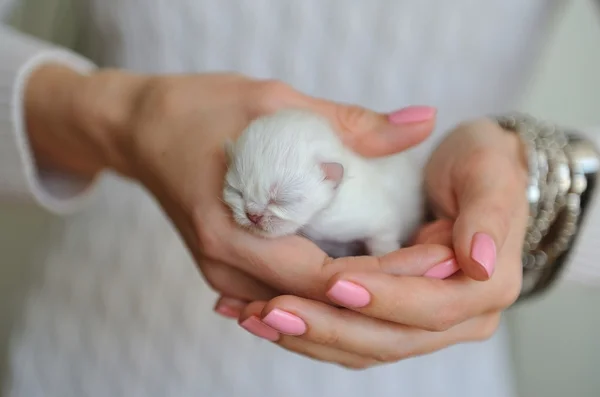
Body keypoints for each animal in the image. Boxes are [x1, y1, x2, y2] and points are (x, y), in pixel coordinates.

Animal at [223, 108, 424, 256]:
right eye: (237, 191)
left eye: (280, 200)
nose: (253, 216)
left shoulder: (373, 216)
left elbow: (383, 236)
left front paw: (384, 253)